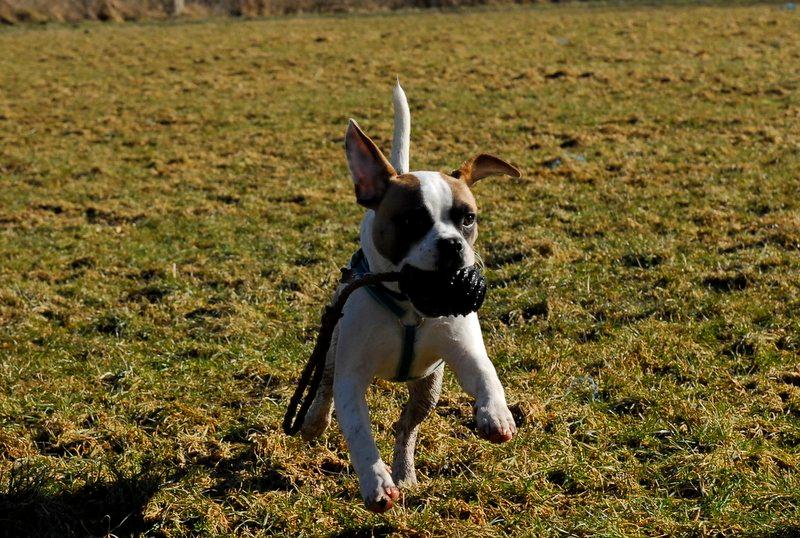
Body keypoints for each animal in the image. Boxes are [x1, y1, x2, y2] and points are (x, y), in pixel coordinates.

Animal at [300, 80, 520, 510]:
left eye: (467, 218)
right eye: (411, 220)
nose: (452, 245)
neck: (409, 308)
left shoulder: (464, 350)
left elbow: (486, 375)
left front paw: (496, 415)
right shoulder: (352, 377)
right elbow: (358, 431)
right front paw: (375, 482)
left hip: (427, 388)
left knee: (406, 427)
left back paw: (405, 470)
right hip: (333, 347)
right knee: (324, 386)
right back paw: (316, 421)